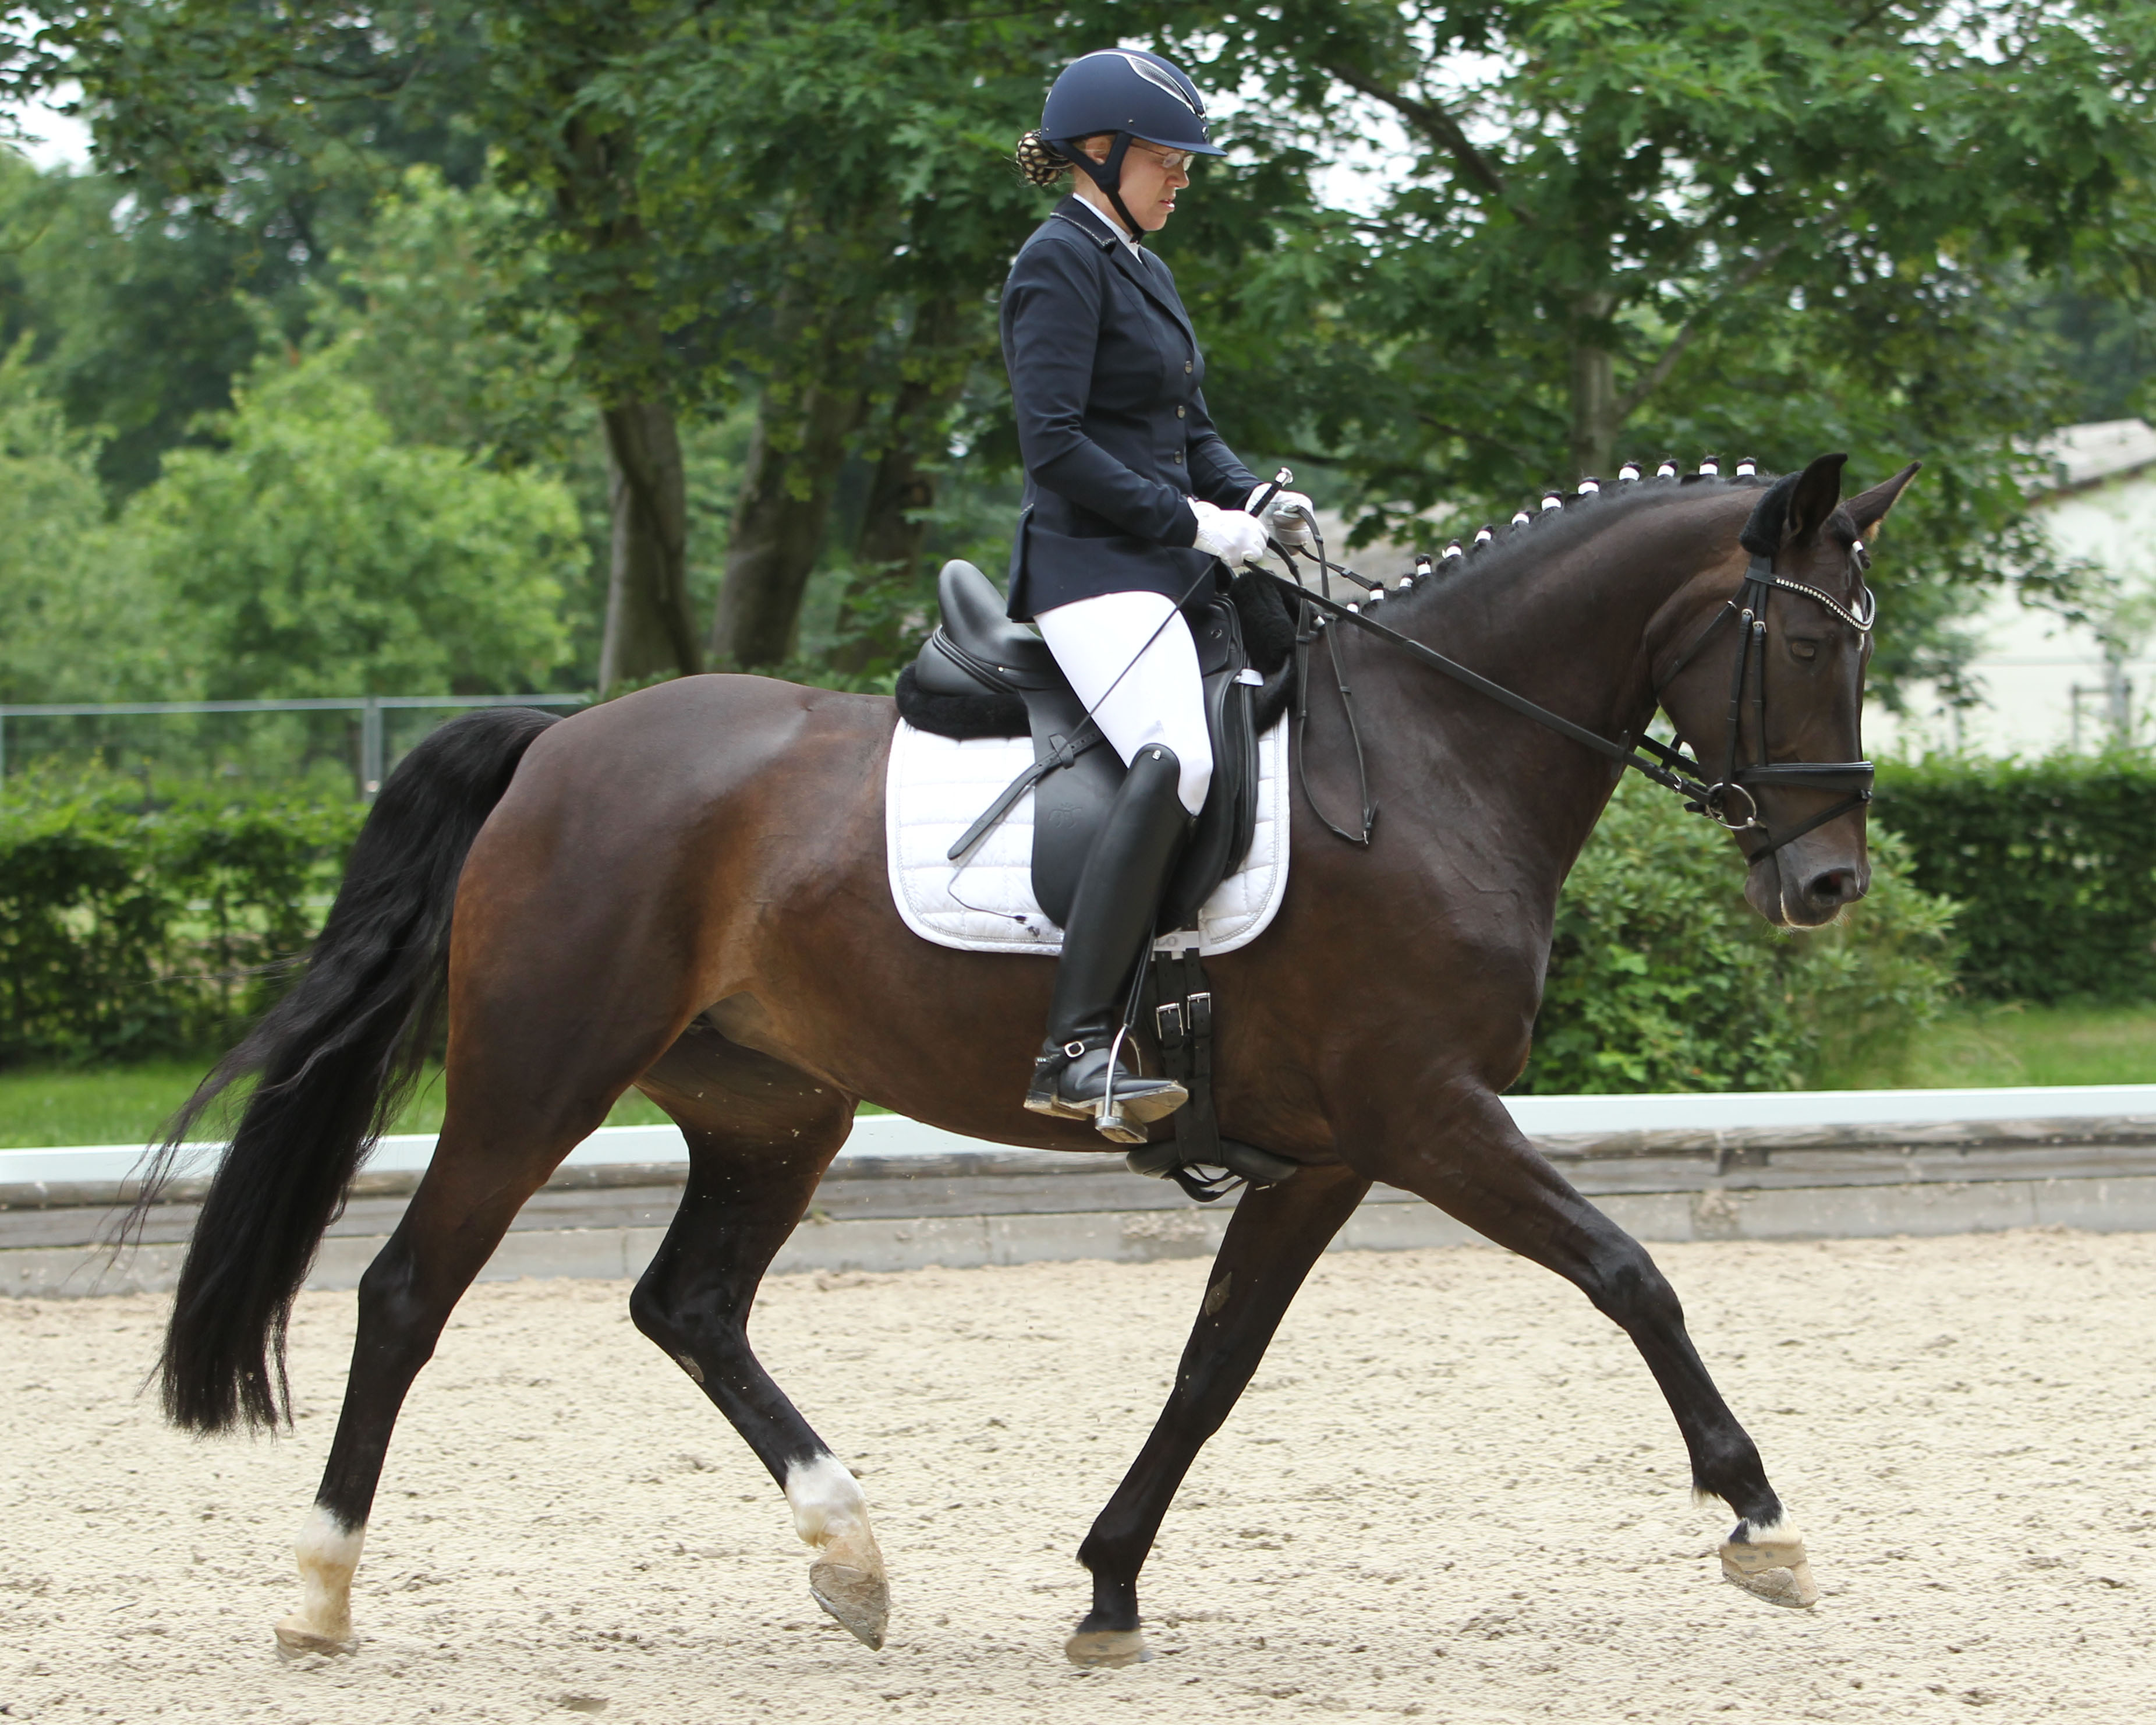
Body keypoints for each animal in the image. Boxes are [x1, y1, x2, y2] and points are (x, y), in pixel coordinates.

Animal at [139, 450, 1923, 1664]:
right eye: (1802, 645)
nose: (1827, 886)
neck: (1433, 758)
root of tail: (562, 742)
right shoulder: (1425, 1115)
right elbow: (1632, 1275)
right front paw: (1760, 1519)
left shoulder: (1329, 1152)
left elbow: (1213, 1367)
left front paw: (1109, 1586)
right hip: (537, 1080)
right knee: (406, 1293)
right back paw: (319, 1594)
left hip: (773, 1105)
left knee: (688, 1305)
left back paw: (851, 1558)